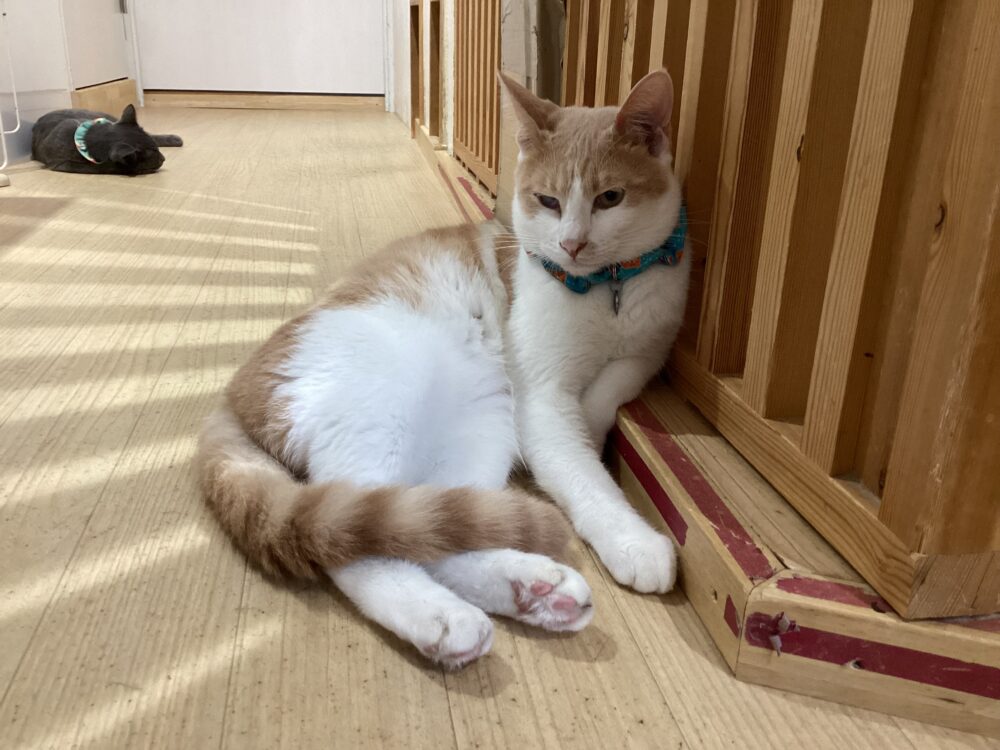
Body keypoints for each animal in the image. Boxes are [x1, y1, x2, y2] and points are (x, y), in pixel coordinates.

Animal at [31, 104, 182, 175]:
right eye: (153, 154)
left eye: (157, 150)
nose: (163, 158)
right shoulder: (62, 164)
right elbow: (102, 167)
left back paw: (175, 139)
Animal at [196, 69, 687, 668]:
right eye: (547, 201)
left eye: (610, 197)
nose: (572, 244)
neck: (607, 287)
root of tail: (231, 392)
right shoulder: (540, 398)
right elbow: (581, 473)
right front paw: (631, 537)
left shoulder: (652, 347)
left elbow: (614, 385)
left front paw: (594, 420)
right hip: (382, 405)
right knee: (352, 539)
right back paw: (442, 618)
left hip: (477, 432)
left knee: (430, 527)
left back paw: (534, 592)